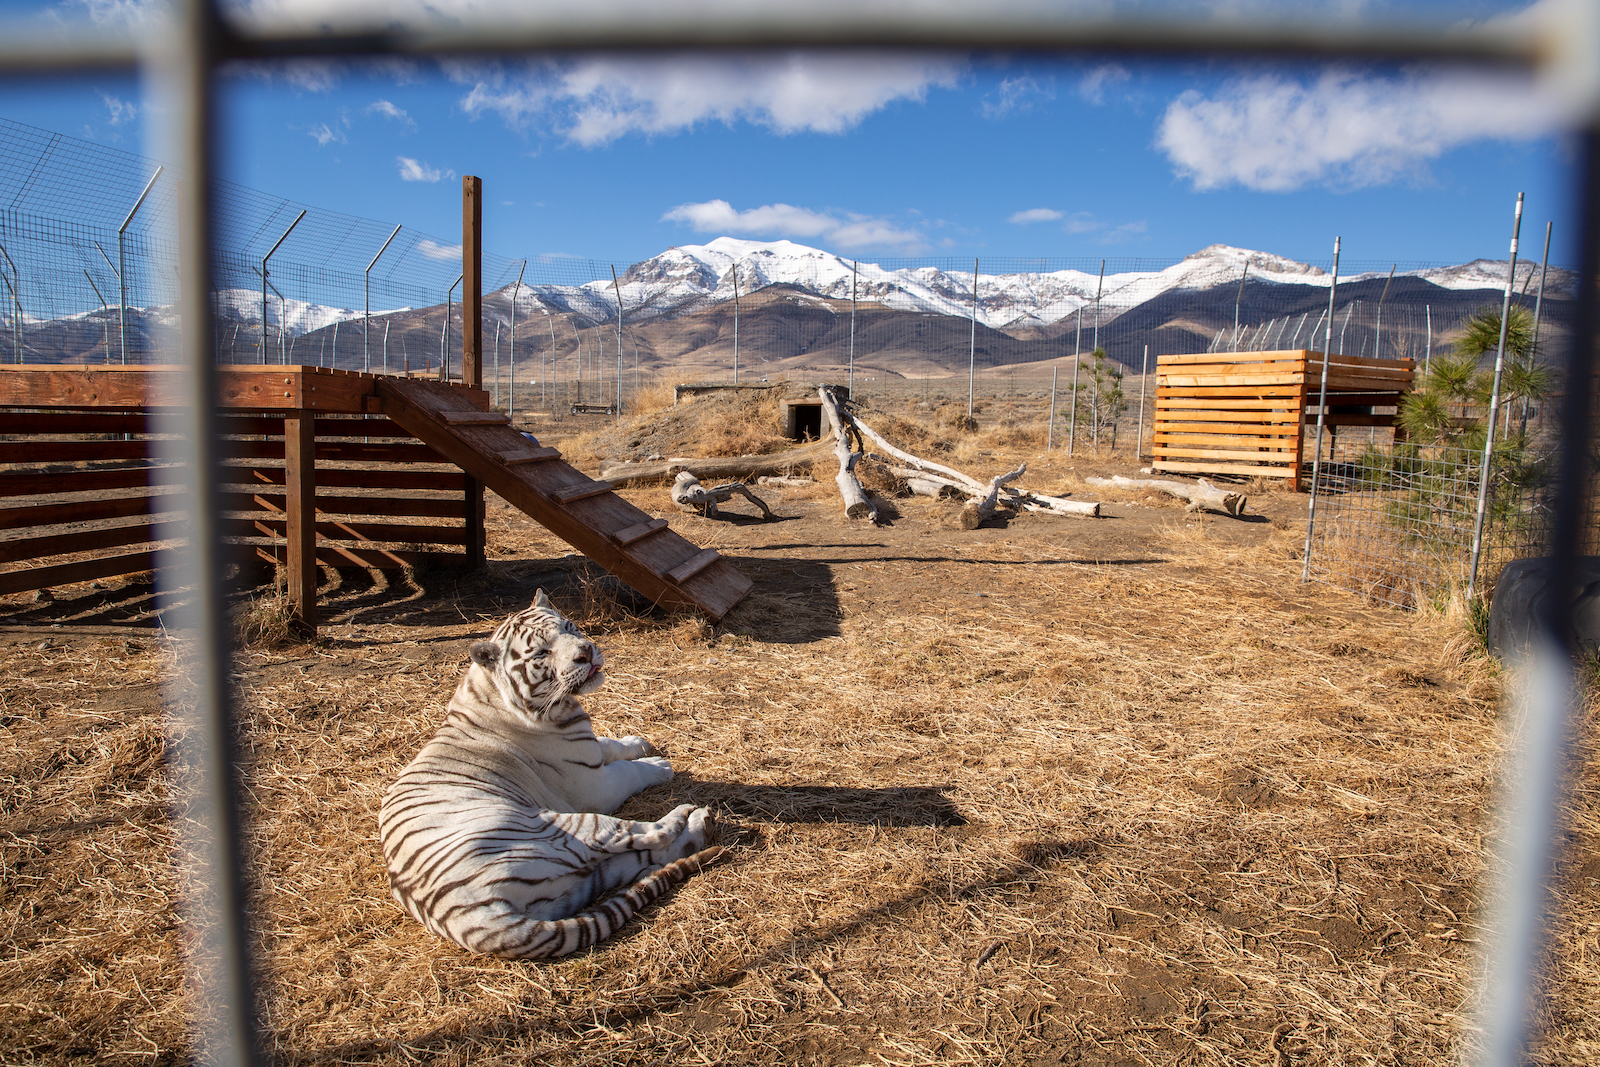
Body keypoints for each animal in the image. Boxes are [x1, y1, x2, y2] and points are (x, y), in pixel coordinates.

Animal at [379, 589, 722, 959]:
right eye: (542, 652)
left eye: (569, 627)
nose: (585, 651)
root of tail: (464, 917)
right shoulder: (592, 785)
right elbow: (627, 769)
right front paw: (658, 765)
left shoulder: (586, 748)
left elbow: (609, 744)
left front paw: (638, 742)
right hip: (552, 826)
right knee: (642, 834)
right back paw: (684, 814)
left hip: (576, 883)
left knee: (640, 860)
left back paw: (700, 827)